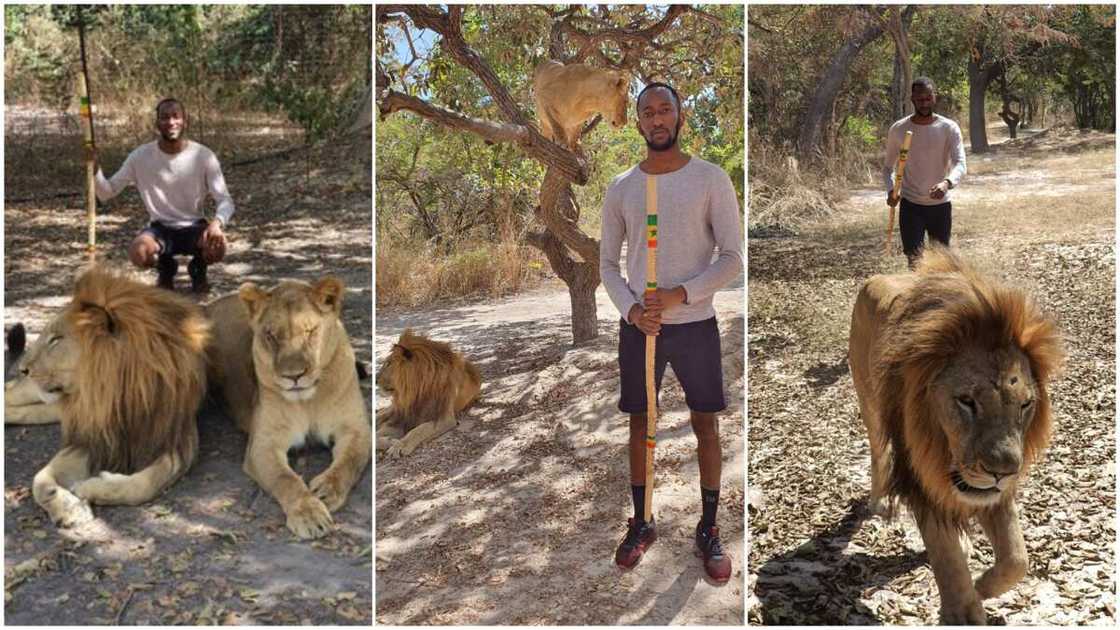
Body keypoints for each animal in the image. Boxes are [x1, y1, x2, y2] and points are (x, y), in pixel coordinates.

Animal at [2, 264, 208, 524]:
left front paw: (91, 487)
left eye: (56, 339)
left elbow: (146, 483)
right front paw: (67, 507)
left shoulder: (178, 439)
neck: (114, 394)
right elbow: (40, 479)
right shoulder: (93, 437)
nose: (23, 369)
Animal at [203, 276, 369, 538]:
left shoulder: (356, 430)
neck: (309, 400)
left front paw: (327, 490)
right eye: (271, 335)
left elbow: (349, 462)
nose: (294, 376)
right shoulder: (263, 444)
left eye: (310, 331)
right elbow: (285, 479)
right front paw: (308, 514)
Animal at [851, 245, 1061, 623]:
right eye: (966, 401)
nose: (1003, 472)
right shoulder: (919, 478)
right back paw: (879, 503)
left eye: (1025, 405)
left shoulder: (996, 494)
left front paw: (983, 586)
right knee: (876, 452)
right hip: (870, 405)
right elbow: (948, 561)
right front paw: (964, 607)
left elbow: (1016, 558)